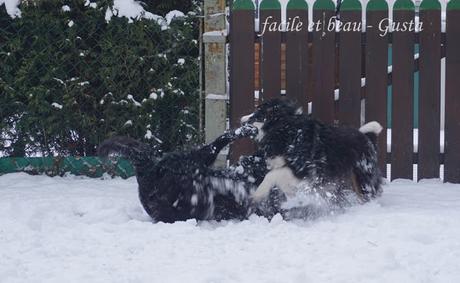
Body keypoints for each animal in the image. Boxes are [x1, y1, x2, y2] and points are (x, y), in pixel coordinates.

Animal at [243, 98, 382, 205]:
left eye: (256, 115)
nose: (242, 119)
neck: (286, 131)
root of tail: (367, 137)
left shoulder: (306, 171)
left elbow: (272, 174)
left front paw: (257, 194)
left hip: (362, 177)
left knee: (367, 194)